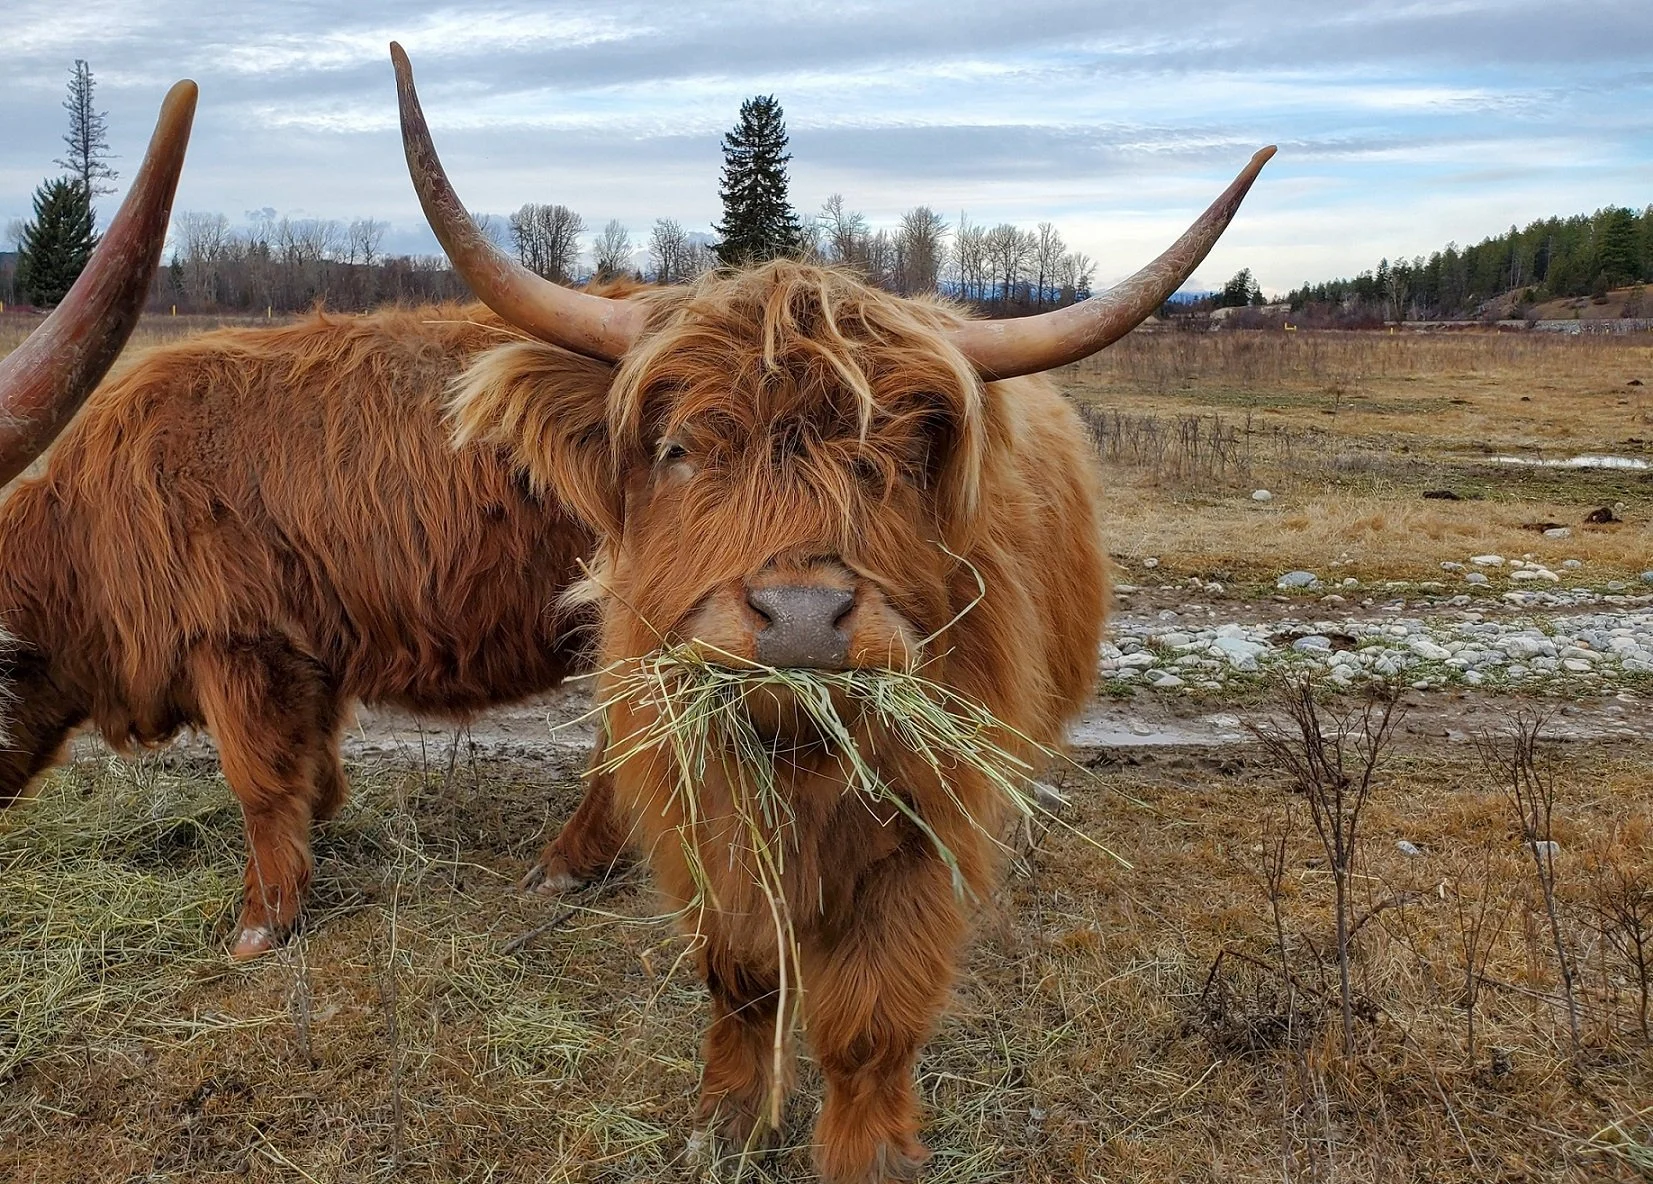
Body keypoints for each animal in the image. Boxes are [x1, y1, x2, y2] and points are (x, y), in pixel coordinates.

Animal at [0, 86, 620, 959]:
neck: (84, 544)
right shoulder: (308, 653)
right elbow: (310, 767)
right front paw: (317, 828)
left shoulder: (238, 646)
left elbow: (257, 783)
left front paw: (261, 920)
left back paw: (564, 864)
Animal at [391, 43, 1272, 1183]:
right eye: (679, 447)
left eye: (897, 455)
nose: (801, 617)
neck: (802, 761)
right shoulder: (703, 812)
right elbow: (741, 972)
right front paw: (727, 1118)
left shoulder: (924, 831)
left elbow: (870, 1017)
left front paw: (867, 1151)